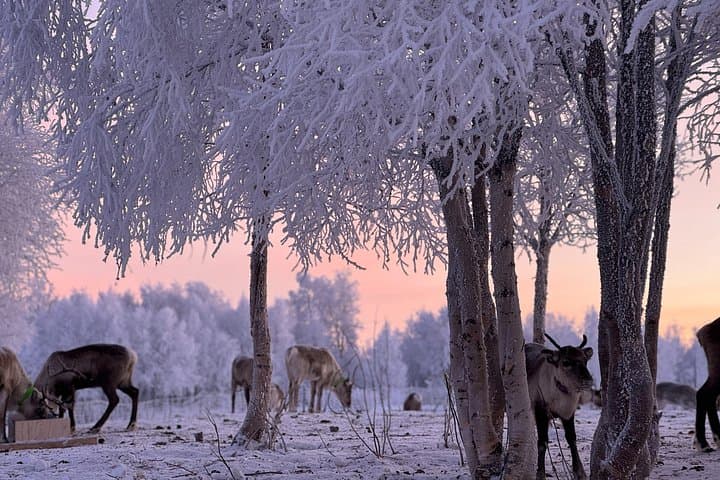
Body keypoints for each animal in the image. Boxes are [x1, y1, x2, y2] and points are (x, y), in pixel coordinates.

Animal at [526, 334, 594, 480]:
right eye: (566, 362)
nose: (588, 380)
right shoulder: (540, 410)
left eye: (585, 360)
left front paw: (579, 472)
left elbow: (572, 439)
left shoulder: (568, 413)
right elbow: (542, 442)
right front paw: (540, 473)